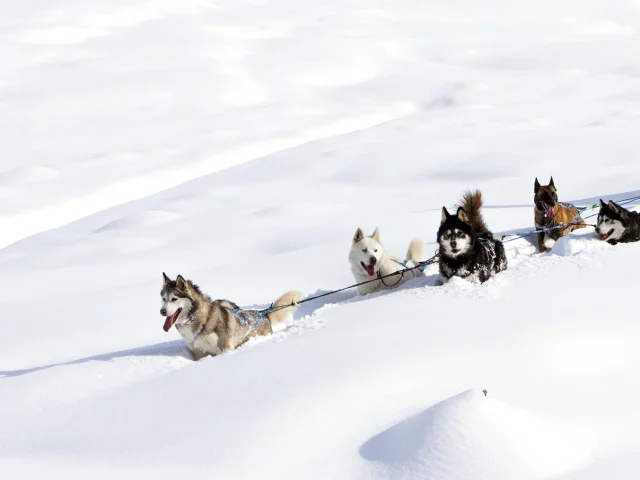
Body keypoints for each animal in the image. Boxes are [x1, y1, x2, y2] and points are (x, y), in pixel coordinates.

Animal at [159, 274, 302, 360]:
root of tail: (263, 315)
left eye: (174, 299)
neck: (197, 318)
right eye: (164, 299)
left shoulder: (224, 349)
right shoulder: (199, 352)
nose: (162, 311)